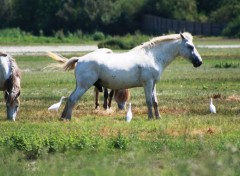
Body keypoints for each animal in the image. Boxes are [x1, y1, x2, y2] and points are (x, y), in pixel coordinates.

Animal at [53, 32, 202, 120]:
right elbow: (148, 101)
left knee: (70, 98)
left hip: (80, 86)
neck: (152, 56)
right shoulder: (148, 83)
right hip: (84, 86)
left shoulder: (153, 84)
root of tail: (80, 59)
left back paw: (63, 117)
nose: (199, 62)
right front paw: (150, 117)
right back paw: (68, 118)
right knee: (73, 99)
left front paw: (158, 117)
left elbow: (155, 101)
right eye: (190, 46)